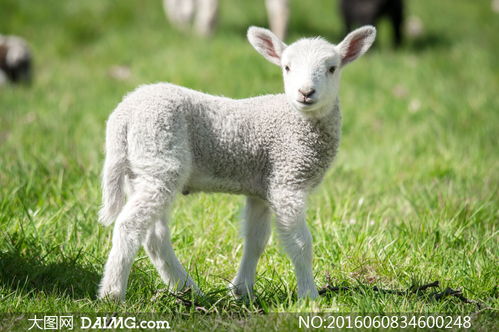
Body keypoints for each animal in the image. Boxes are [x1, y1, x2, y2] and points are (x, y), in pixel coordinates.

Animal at [99, 26, 376, 300]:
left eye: (332, 68)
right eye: (286, 67)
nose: (306, 92)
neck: (294, 120)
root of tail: (122, 114)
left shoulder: (263, 188)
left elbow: (256, 240)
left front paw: (242, 290)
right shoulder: (287, 181)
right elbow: (300, 244)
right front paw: (309, 296)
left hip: (142, 169)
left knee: (154, 236)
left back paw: (187, 289)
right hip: (160, 156)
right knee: (129, 225)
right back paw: (113, 293)